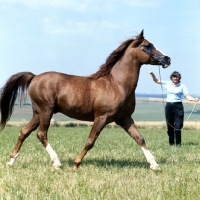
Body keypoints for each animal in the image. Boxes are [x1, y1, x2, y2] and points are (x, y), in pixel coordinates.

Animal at [0, 30, 170, 171]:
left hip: (38, 113)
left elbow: (140, 138)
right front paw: (76, 164)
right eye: (146, 46)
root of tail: (34, 77)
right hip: (46, 111)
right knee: (41, 134)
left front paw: (154, 165)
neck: (117, 85)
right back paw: (57, 162)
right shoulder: (102, 117)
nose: (167, 58)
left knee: (24, 132)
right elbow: (90, 141)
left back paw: (11, 161)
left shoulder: (125, 118)